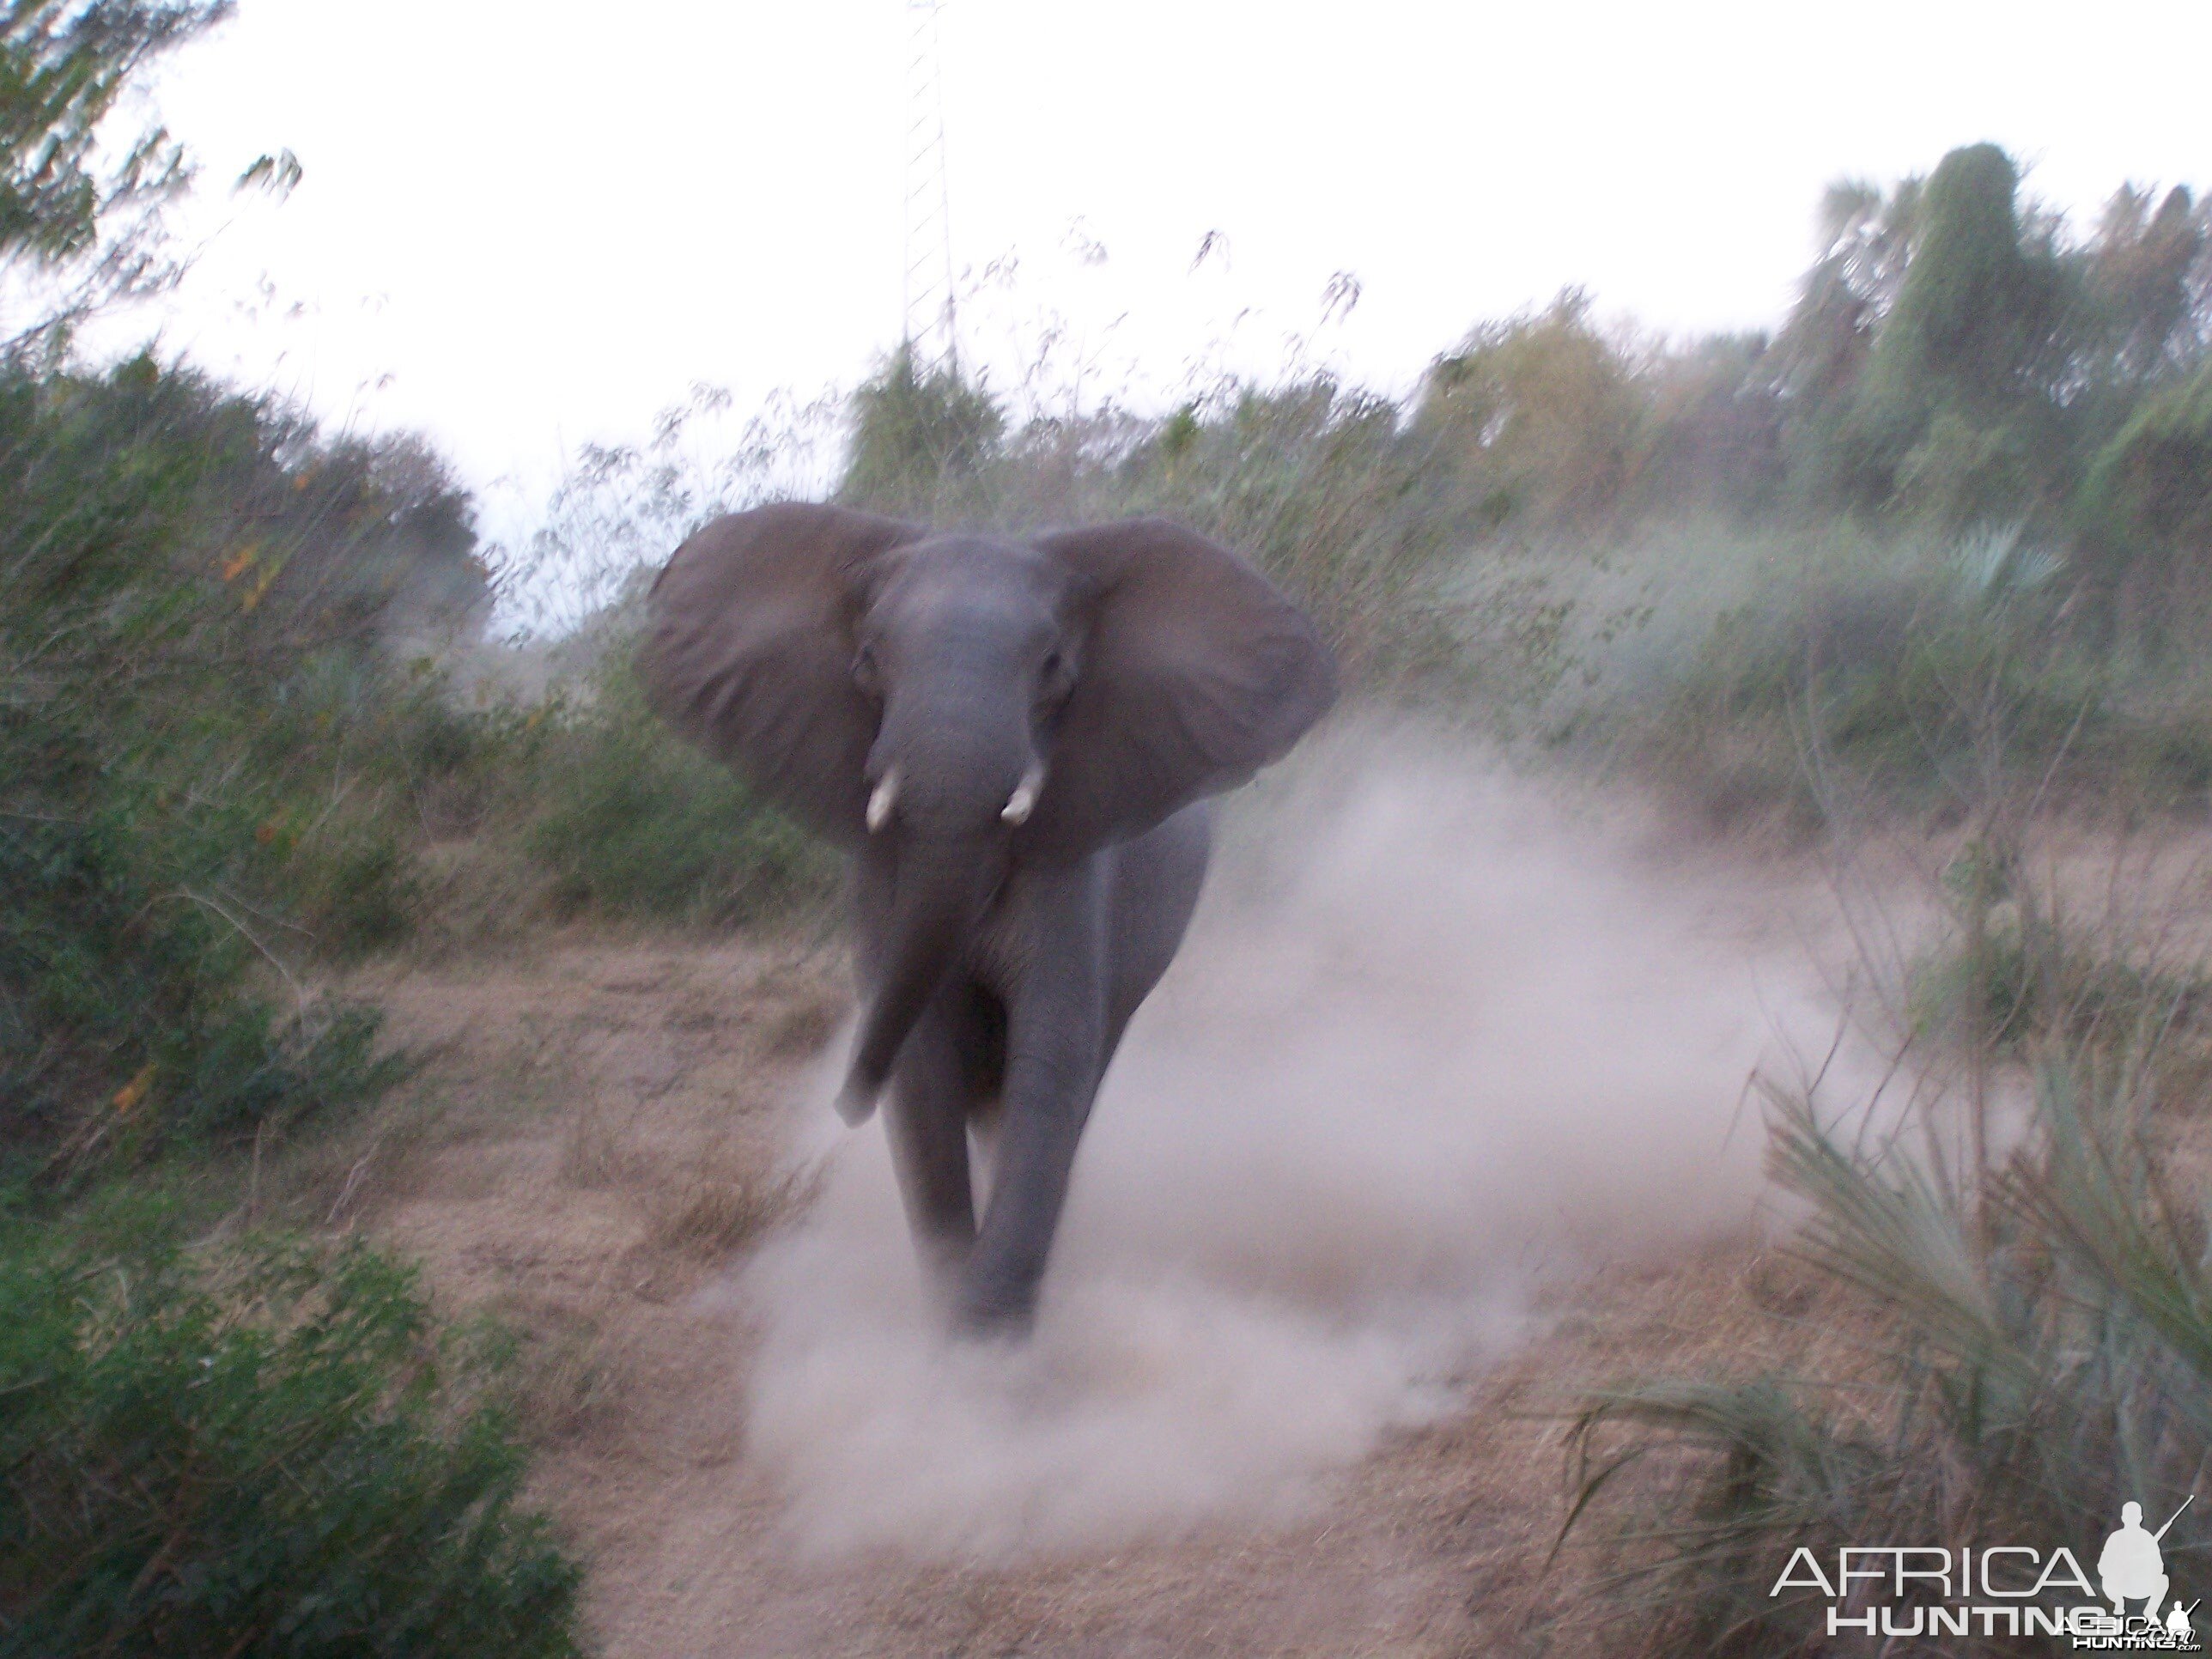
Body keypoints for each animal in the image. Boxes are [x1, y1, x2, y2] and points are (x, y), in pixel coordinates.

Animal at [636, 506, 1327, 1335]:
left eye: (1054, 667)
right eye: (867, 661)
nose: (843, 1104)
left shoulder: (1075, 856)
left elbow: (1050, 1057)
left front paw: (988, 1349)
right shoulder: (880, 873)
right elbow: (924, 1066)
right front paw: (953, 1328)